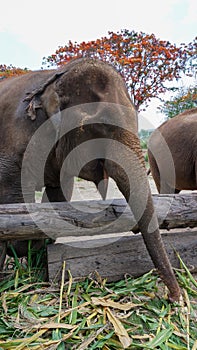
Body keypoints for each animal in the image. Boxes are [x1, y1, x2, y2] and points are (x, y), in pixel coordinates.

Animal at [0, 56, 180, 300]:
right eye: (101, 125)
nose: (172, 298)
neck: (55, 79)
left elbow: (59, 192)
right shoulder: (13, 143)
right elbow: (11, 195)